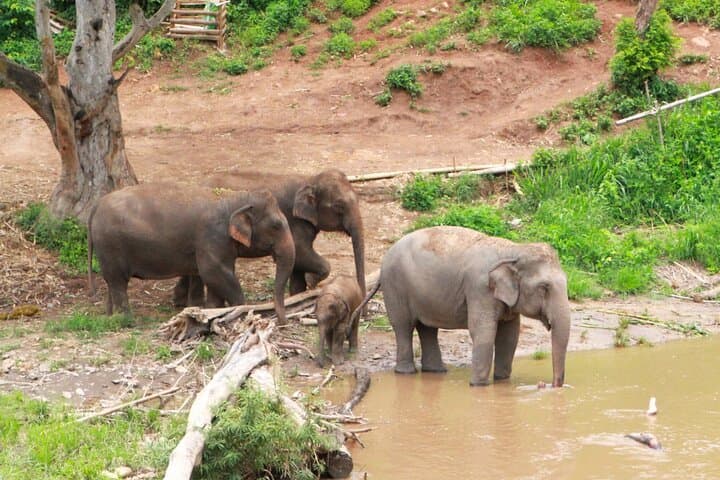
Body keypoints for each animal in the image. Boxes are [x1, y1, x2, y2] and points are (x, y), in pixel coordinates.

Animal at [87, 183, 295, 323]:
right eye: (276, 226)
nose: (283, 322)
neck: (233, 197)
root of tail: (97, 205)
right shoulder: (212, 236)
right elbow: (214, 272)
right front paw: (240, 310)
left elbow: (208, 276)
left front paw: (211, 311)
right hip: (110, 244)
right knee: (118, 282)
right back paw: (127, 321)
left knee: (112, 281)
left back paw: (110, 316)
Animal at [173, 168, 365, 306]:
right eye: (339, 206)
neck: (309, 179)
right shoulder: (293, 222)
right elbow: (300, 253)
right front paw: (311, 282)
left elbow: (296, 265)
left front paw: (298, 294)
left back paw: (179, 302)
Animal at [353, 226, 570, 387]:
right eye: (545, 287)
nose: (551, 385)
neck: (513, 250)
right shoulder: (479, 289)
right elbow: (483, 331)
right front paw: (478, 385)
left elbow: (509, 336)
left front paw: (502, 382)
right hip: (395, 286)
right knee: (403, 327)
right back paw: (407, 372)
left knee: (427, 328)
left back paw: (436, 371)